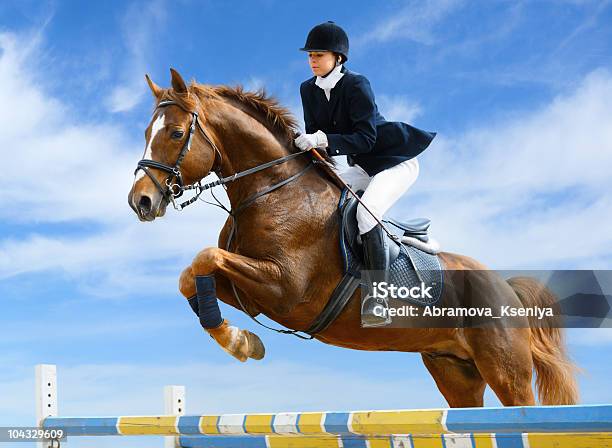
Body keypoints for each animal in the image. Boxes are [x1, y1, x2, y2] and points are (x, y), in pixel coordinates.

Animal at [126, 68, 576, 408]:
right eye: (147, 131)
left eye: (176, 133)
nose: (140, 201)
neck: (272, 189)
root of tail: (506, 286)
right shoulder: (250, 292)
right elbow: (192, 274)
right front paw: (241, 341)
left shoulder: (285, 288)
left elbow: (205, 257)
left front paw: (239, 343)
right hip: (454, 371)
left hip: (506, 371)